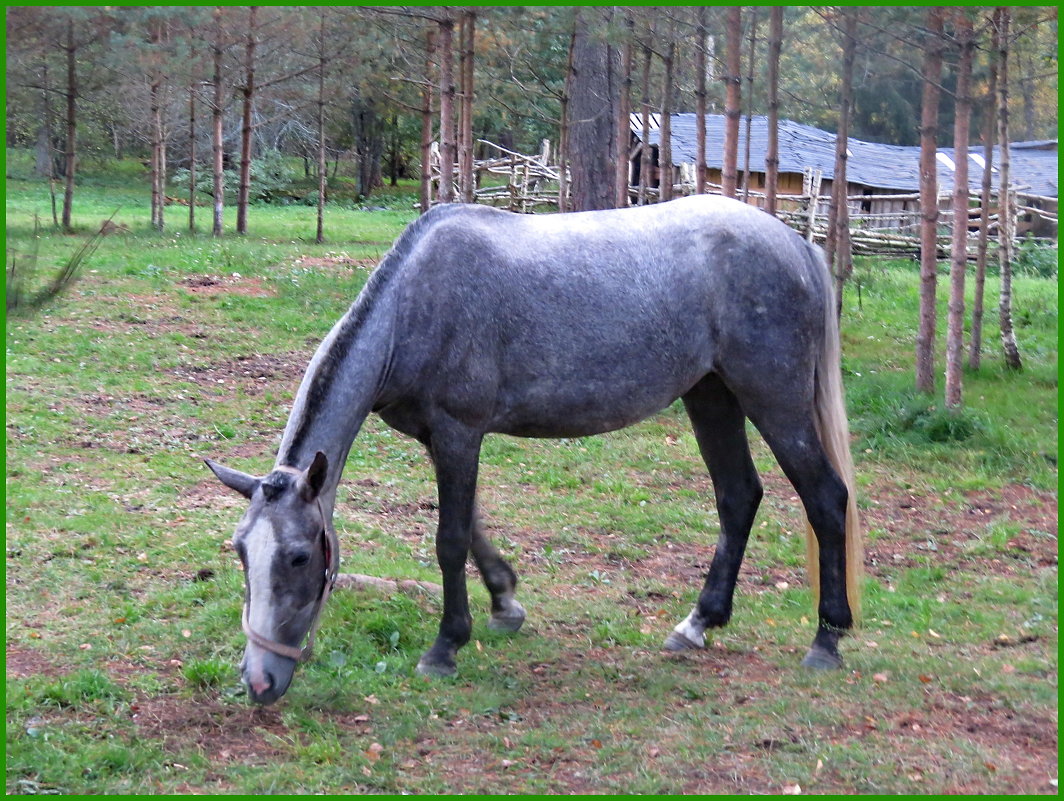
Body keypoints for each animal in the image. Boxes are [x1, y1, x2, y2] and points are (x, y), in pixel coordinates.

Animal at [207, 195, 863, 706]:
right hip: (712, 396)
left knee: (825, 498)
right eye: (241, 551)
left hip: (773, 400)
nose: (259, 683)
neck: (416, 305)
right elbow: (472, 527)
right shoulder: (437, 437)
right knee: (738, 497)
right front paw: (505, 603)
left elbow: (449, 540)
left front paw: (445, 646)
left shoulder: (459, 432)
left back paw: (826, 639)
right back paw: (698, 623)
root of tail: (796, 245)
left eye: (298, 557)